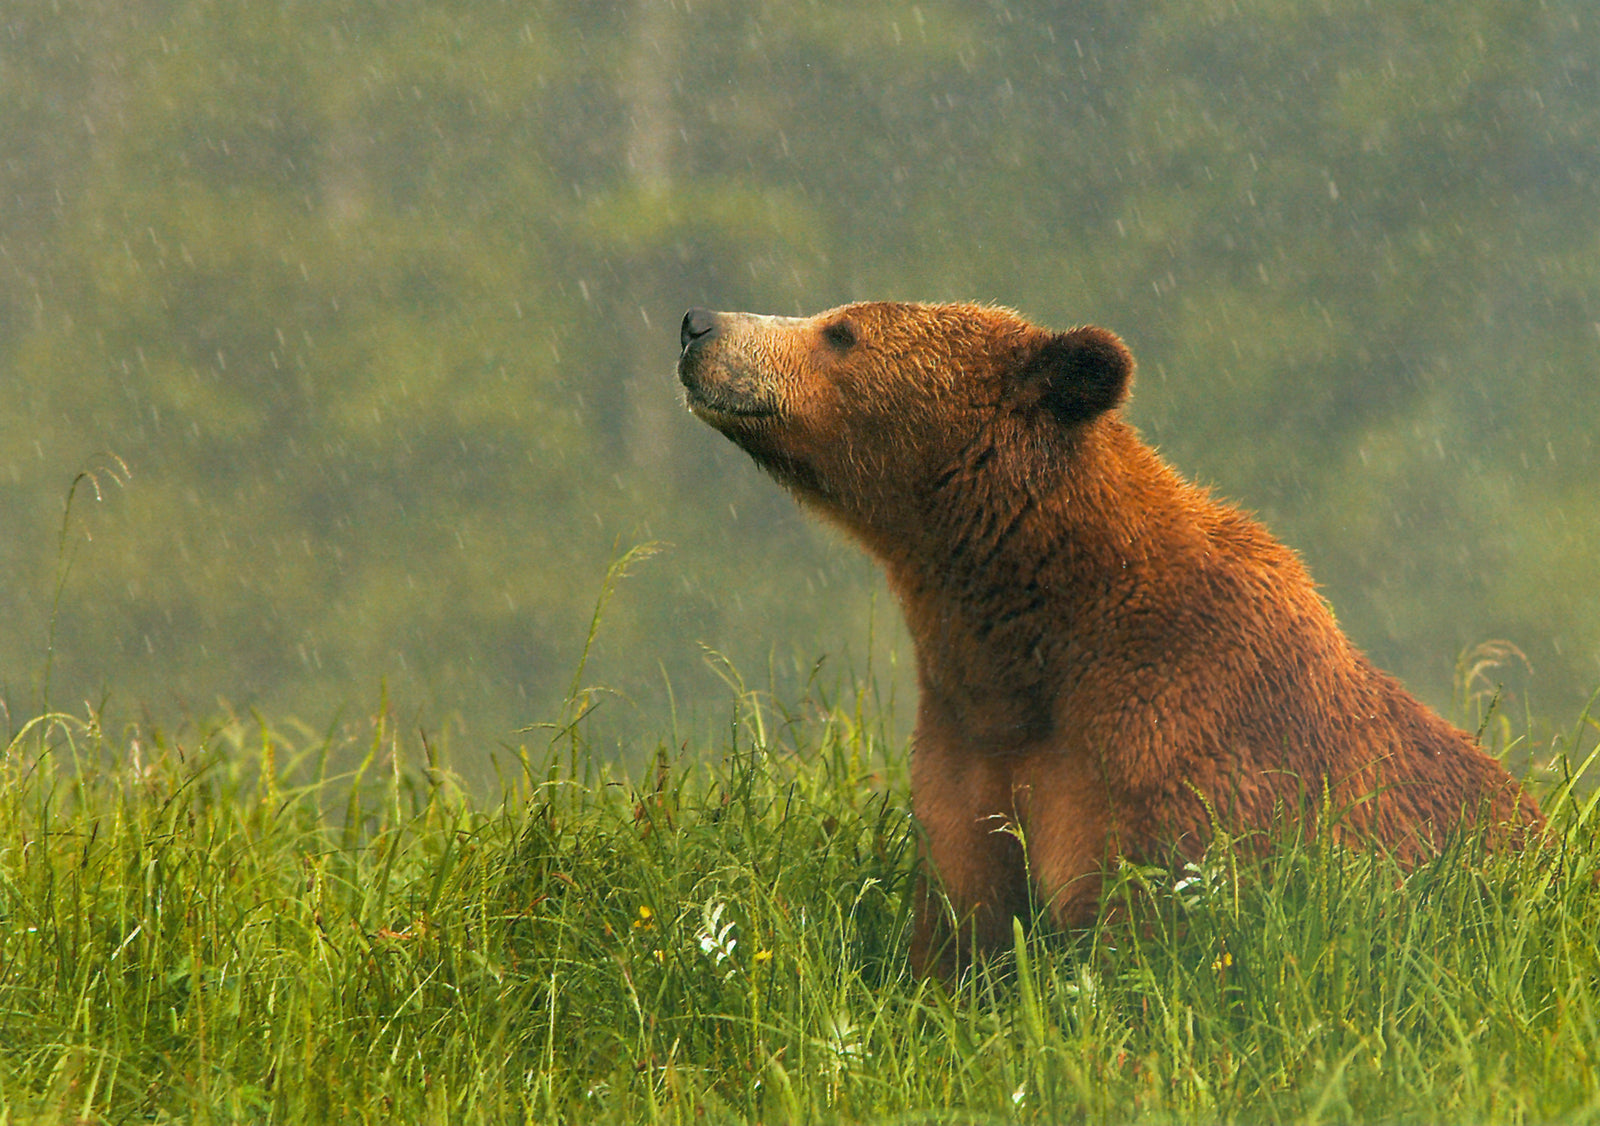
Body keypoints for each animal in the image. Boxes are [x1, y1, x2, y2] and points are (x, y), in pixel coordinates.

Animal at [676, 301, 1544, 977]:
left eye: (841, 331)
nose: (699, 325)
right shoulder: (968, 751)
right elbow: (961, 928)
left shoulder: (1169, 747)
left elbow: (1154, 939)